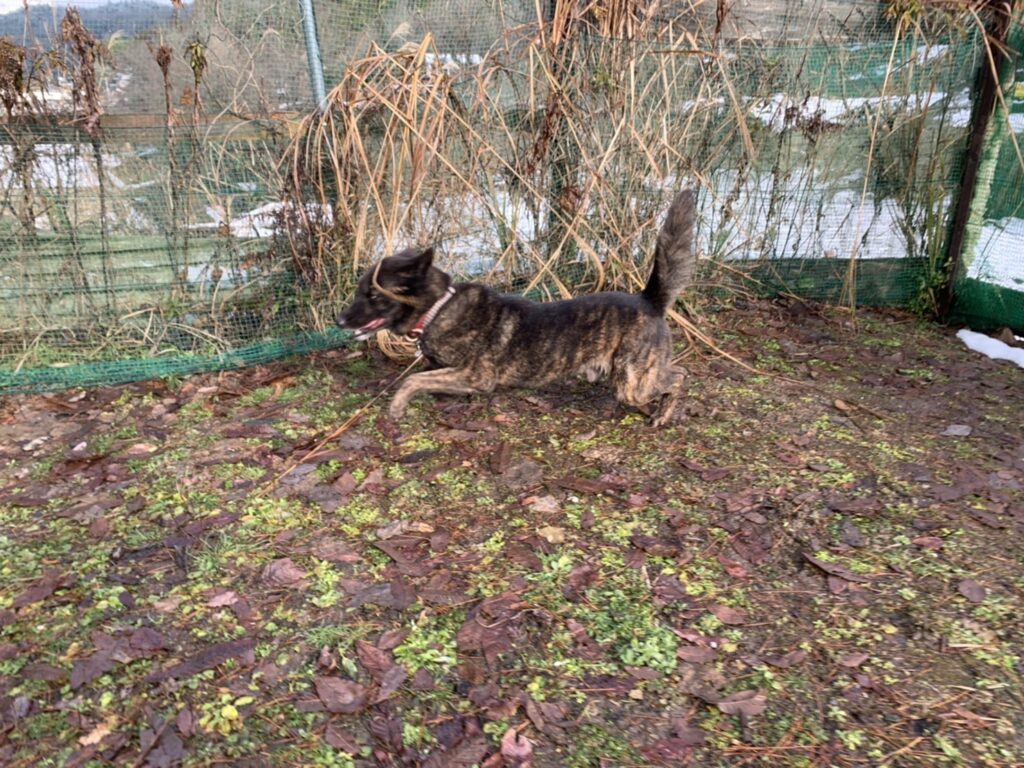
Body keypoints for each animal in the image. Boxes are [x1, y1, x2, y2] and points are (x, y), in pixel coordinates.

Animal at [336, 190, 697, 425]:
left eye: (372, 295)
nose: (339, 321)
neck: (440, 307)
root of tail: (648, 300)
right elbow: (425, 377)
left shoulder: (476, 375)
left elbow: (411, 380)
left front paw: (396, 407)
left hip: (633, 383)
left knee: (680, 375)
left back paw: (663, 413)